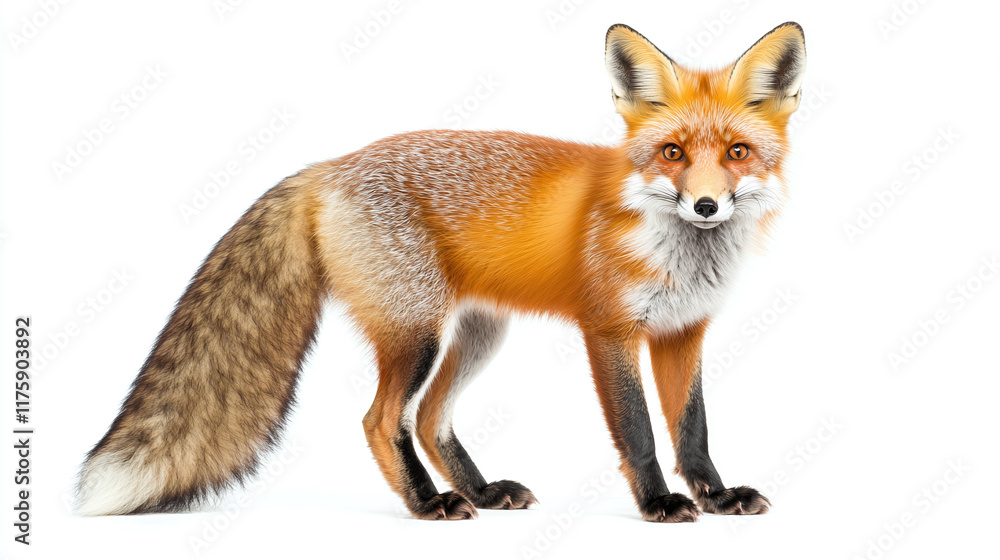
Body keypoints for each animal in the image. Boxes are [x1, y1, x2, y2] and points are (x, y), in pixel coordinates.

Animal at [76, 22, 806, 522]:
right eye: (673, 153)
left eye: (738, 153)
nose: (706, 205)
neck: (678, 253)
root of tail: (326, 167)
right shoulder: (610, 332)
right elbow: (641, 433)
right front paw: (658, 505)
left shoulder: (683, 333)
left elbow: (693, 429)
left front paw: (717, 495)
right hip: (417, 331)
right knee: (382, 421)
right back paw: (429, 505)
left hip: (478, 333)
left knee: (428, 419)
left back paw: (479, 490)